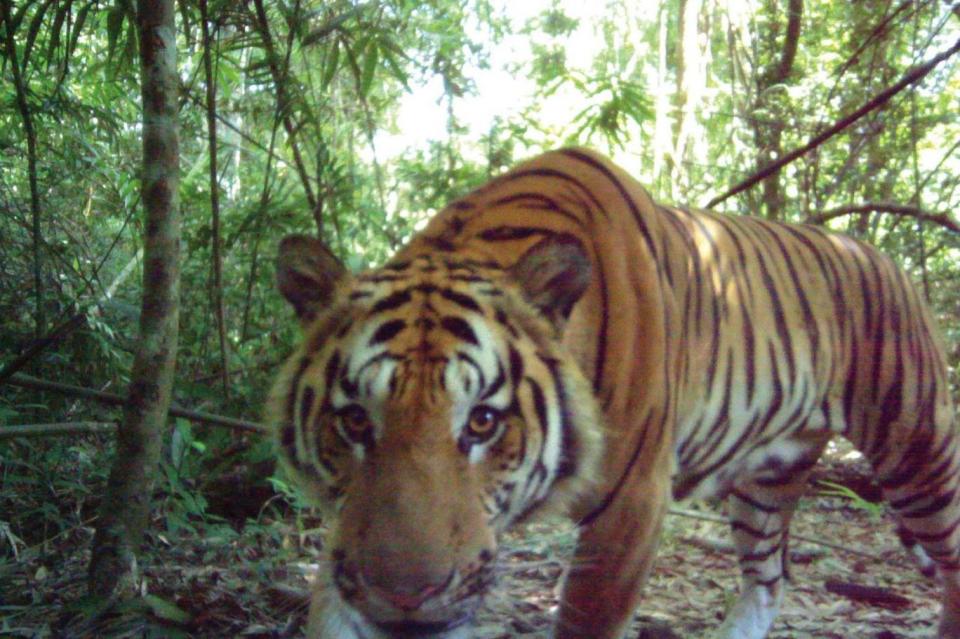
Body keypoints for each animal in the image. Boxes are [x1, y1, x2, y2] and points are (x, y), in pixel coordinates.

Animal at [268, 149, 960, 639]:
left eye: (483, 422)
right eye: (355, 422)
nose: (403, 597)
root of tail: (880, 254)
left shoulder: (632, 505)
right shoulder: (350, 530)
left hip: (918, 451)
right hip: (767, 480)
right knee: (770, 579)